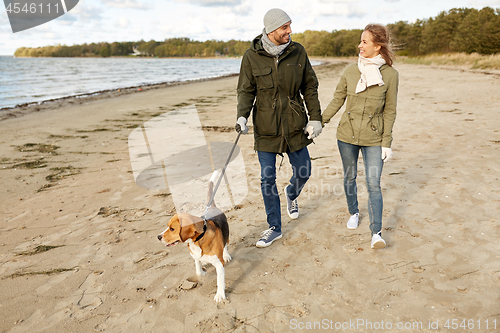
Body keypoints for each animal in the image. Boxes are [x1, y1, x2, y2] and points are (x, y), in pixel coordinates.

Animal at [157, 171, 231, 300]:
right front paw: (202, 271)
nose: (158, 237)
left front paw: (220, 295)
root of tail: (212, 207)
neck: (197, 241)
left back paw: (226, 255)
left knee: (225, 244)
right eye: (168, 226)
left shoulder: (219, 264)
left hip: (226, 234)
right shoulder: (195, 256)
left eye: (172, 229)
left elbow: (220, 281)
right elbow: (198, 269)